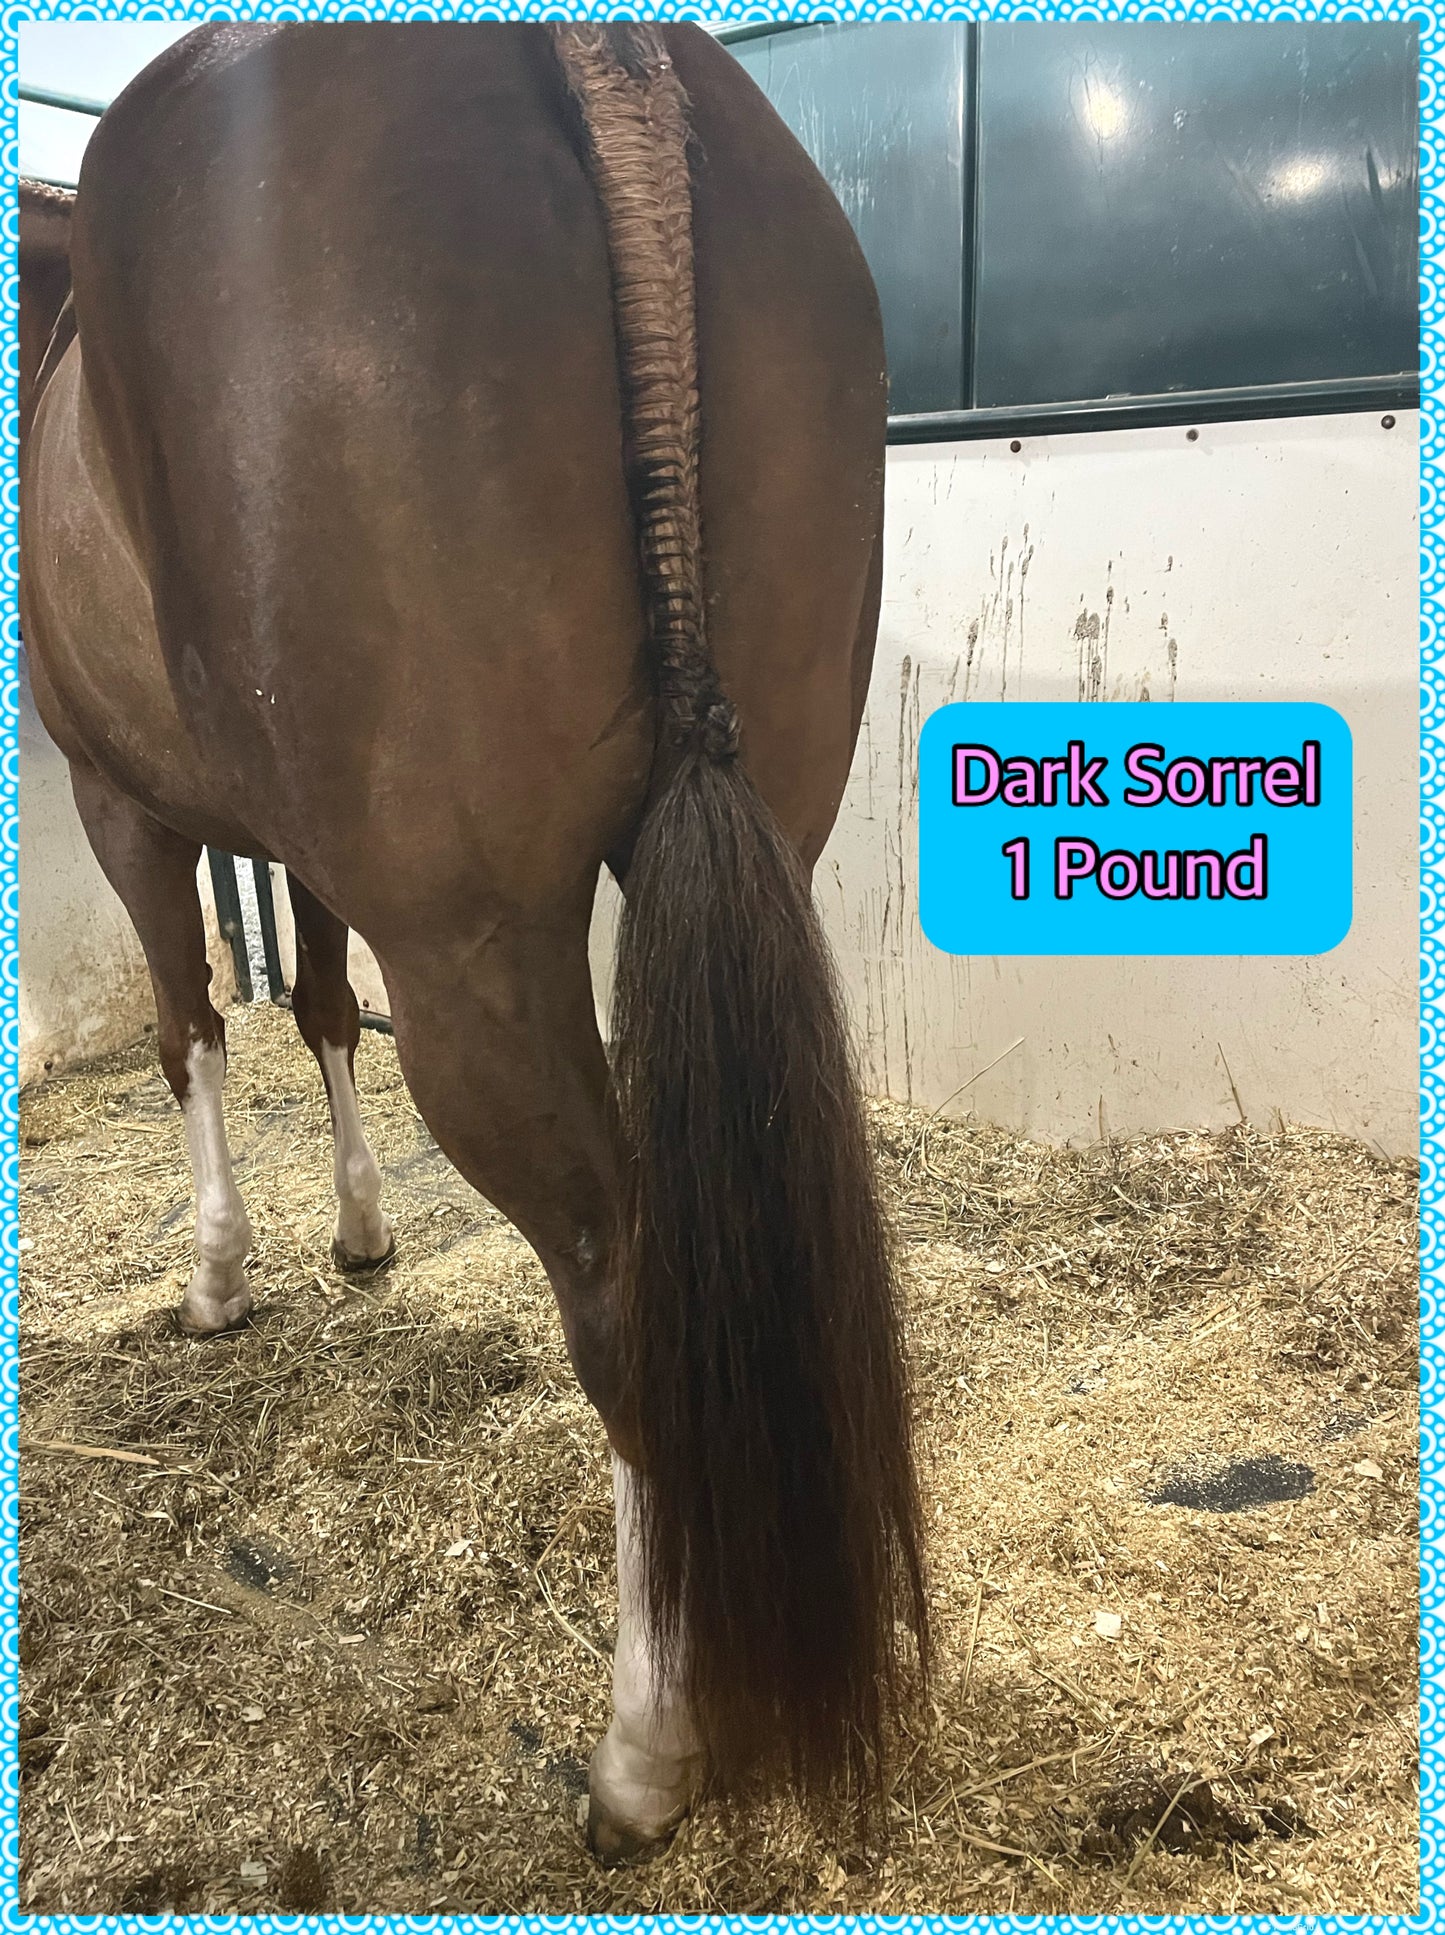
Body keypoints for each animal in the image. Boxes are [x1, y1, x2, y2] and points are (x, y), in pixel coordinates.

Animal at [20, 22, 927, 1861]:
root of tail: (596, 46)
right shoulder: (297, 845)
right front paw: (359, 1231)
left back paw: (644, 1753)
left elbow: (187, 1027)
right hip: (751, 843)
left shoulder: (122, 805)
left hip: (474, 943)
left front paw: (219, 1274)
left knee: (628, 1290)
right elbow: (311, 1002)